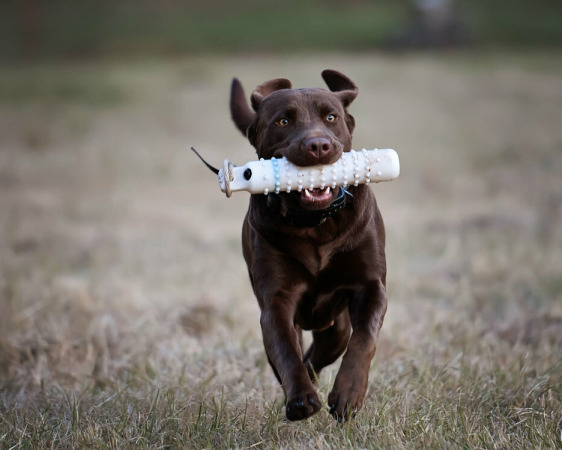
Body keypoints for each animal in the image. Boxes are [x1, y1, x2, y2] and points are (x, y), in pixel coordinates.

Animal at [228, 70, 384, 422]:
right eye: (284, 121)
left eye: (331, 117)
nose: (318, 145)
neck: (316, 224)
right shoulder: (276, 302)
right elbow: (286, 351)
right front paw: (300, 398)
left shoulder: (371, 285)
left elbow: (365, 338)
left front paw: (348, 394)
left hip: (335, 329)